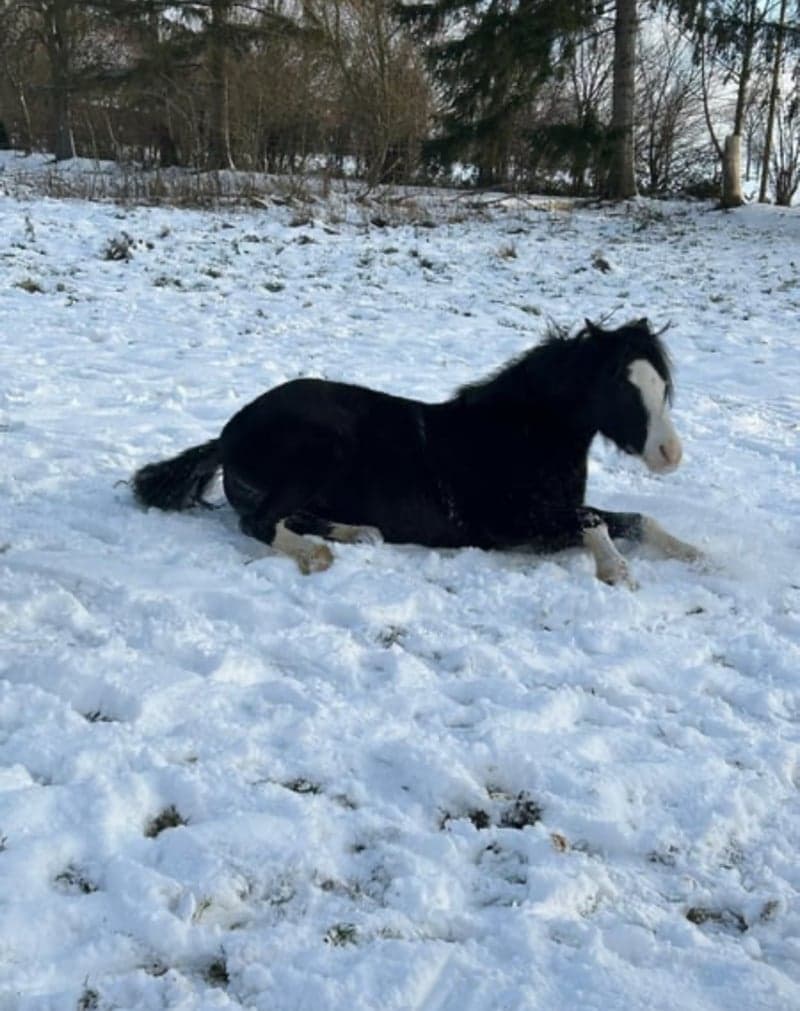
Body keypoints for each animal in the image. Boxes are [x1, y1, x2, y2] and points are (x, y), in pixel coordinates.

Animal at [132, 318, 700, 586]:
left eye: (661, 384)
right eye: (621, 385)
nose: (670, 454)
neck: (518, 435)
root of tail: (227, 435)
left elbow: (637, 520)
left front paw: (699, 557)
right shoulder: (510, 524)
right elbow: (595, 523)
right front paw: (617, 573)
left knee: (291, 517)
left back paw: (361, 534)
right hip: (319, 454)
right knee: (260, 523)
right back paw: (320, 555)